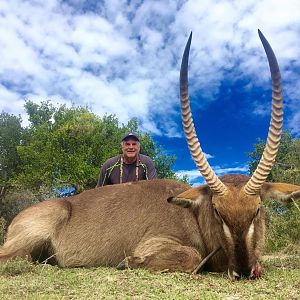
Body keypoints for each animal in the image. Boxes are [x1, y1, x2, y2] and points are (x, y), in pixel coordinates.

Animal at [0, 29, 300, 278]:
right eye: (217, 211)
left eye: (257, 209)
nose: (244, 271)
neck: (193, 215)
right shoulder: (156, 241)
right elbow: (192, 257)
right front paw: (128, 262)